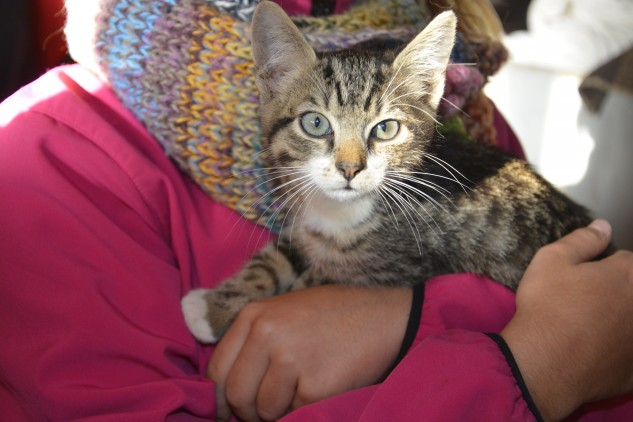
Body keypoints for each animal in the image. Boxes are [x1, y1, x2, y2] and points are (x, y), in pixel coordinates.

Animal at [181, 1, 596, 343]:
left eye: (385, 129)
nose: (350, 168)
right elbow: (285, 251)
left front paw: (217, 309)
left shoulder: (407, 264)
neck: (344, 212)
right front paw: (215, 305)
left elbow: (316, 277)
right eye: (315, 123)